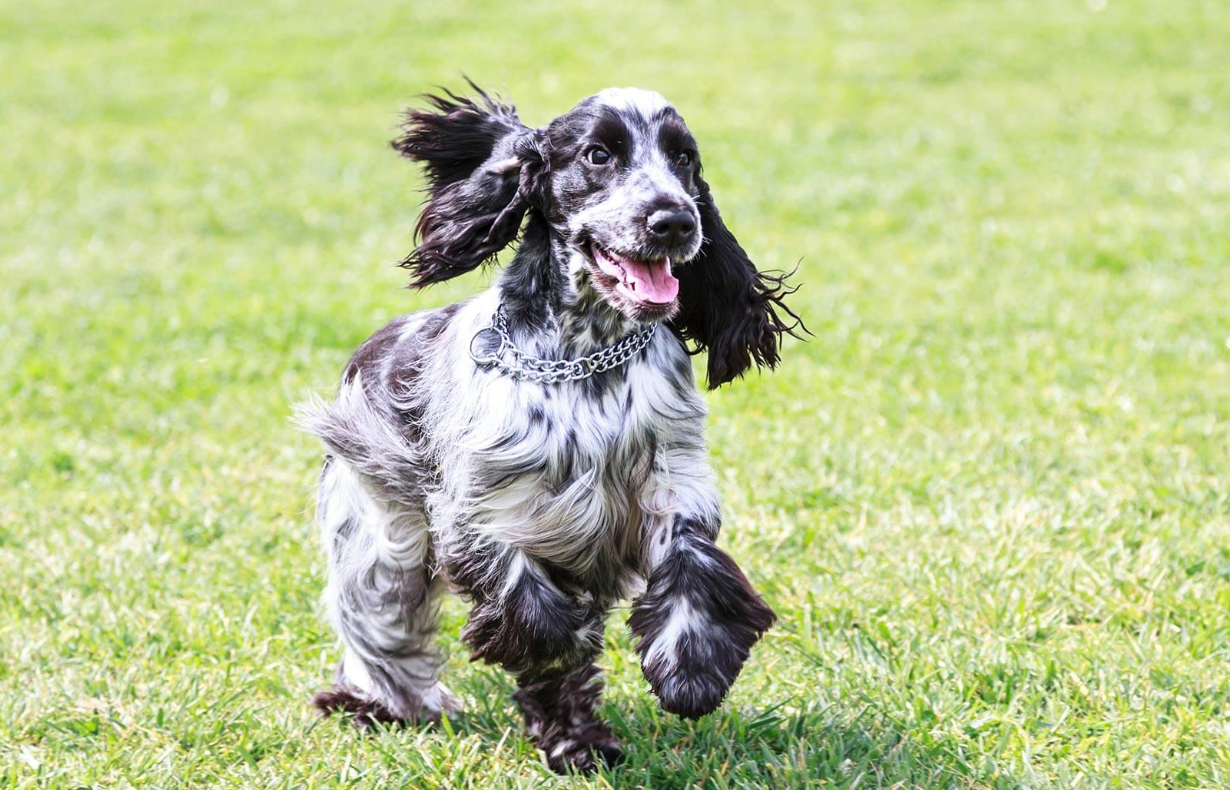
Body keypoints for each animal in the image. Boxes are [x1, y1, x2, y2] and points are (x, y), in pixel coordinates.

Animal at [293, 84, 801, 767]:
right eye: (598, 155)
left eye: (684, 159)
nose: (675, 221)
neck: (587, 353)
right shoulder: (483, 509)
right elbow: (539, 622)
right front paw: (564, 662)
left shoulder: (673, 480)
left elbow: (691, 571)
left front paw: (690, 672)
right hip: (379, 546)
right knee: (380, 628)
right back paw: (379, 705)